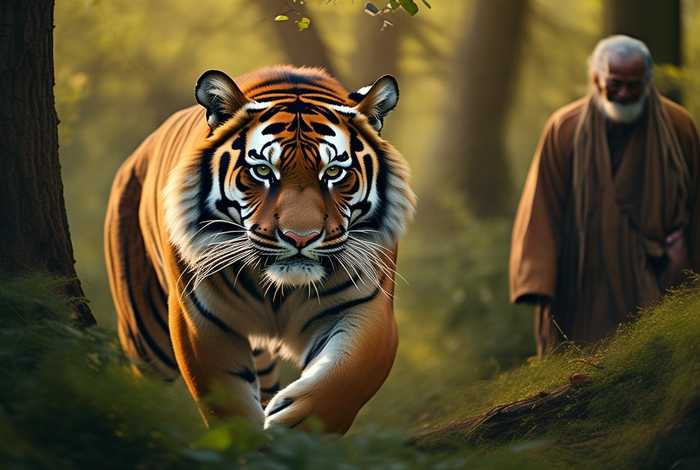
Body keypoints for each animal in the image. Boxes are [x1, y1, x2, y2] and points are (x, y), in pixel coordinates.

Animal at [104, 65, 416, 434]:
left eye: (334, 172)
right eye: (263, 171)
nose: (300, 237)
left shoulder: (367, 308)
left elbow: (346, 377)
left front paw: (294, 428)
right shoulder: (200, 320)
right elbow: (228, 404)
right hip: (145, 339)